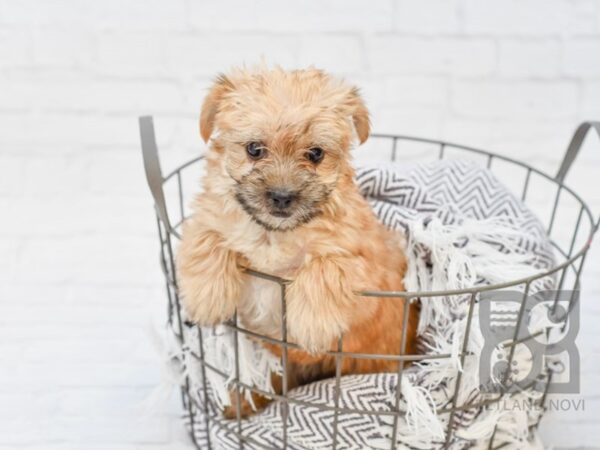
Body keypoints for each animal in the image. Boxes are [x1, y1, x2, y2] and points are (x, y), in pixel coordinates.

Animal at [178, 67, 418, 414]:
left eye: (315, 154)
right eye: (254, 149)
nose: (282, 196)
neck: (274, 234)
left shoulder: (359, 259)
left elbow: (325, 268)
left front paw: (311, 327)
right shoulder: (209, 217)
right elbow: (206, 237)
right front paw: (206, 299)